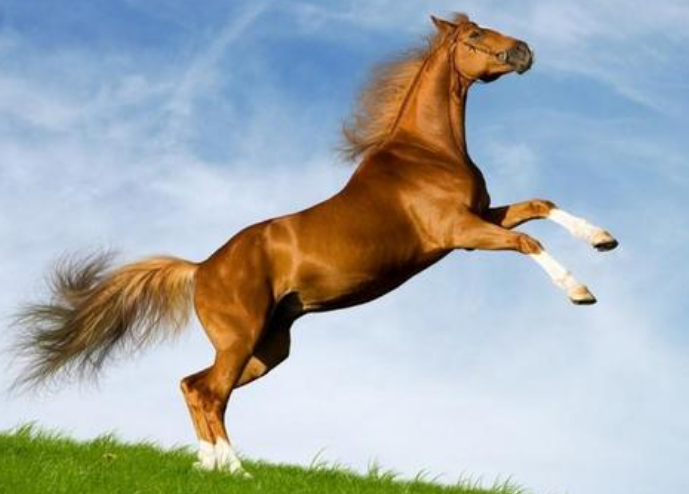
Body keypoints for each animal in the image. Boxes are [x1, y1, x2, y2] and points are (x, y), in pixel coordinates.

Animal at [13, 13, 618, 476]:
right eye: (474, 36)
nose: (524, 51)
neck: (427, 152)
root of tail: (200, 267)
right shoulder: (459, 232)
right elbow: (527, 241)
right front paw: (581, 292)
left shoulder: (479, 217)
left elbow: (540, 204)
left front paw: (603, 239)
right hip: (241, 340)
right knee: (208, 391)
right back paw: (237, 470)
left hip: (268, 349)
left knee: (193, 386)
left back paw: (208, 467)